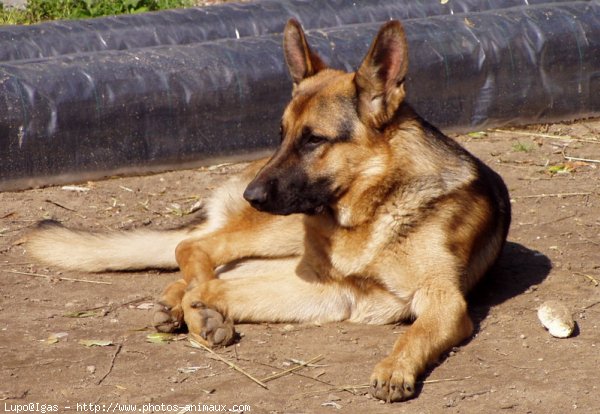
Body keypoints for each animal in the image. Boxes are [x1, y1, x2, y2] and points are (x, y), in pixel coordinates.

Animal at [28, 18, 510, 402]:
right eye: (282, 134)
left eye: (313, 139)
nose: (252, 195)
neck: (370, 213)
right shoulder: (328, 284)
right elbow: (206, 284)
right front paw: (200, 312)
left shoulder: (434, 301)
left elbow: (416, 331)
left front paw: (395, 367)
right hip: (275, 233)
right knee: (194, 248)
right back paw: (187, 306)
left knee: (210, 265)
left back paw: (177, 303)